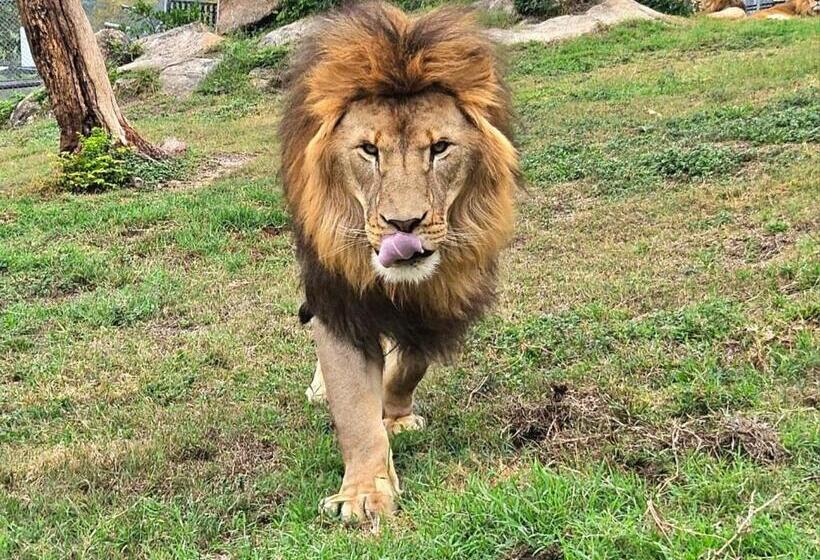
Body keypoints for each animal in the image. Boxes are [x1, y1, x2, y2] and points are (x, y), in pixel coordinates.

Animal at [278, 2, 517, 523]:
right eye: (369, 150)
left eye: (440, 148)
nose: (402, 224)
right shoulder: (340, 299)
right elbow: (353, 407)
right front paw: (364, 491)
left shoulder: (442, 301)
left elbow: (411, 365)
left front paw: (395, 415)